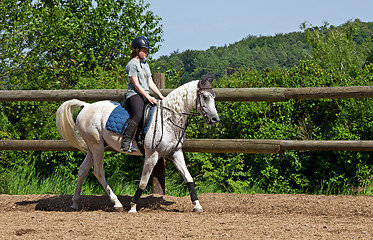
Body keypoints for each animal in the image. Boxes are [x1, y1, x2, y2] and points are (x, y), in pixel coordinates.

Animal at [54, 77, 218, 212]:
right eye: (205, 97)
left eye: (213, 97)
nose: (215, 119)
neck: (168, 118)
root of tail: (87, 106)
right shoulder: (152, 155)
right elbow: (144, 182)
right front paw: (133, 206)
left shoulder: (175, 153)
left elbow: (188, 178)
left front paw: (197, 205)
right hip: (97, 146)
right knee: (99, 172)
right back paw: (117, 203)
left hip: (92, 147)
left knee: (82, 170)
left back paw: (75, 203)